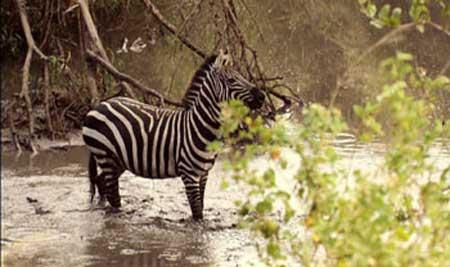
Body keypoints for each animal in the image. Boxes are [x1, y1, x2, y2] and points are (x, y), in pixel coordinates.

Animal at [82, 49, 266, 220]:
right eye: (231, 80)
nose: (263, 96)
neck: (199, 126)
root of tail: (100, 105)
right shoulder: (189, 174)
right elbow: (197, 213)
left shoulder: (203, 174)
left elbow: (201, 206)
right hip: (106, 156)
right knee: (113, 196)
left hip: (118, 161)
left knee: (101, 182)